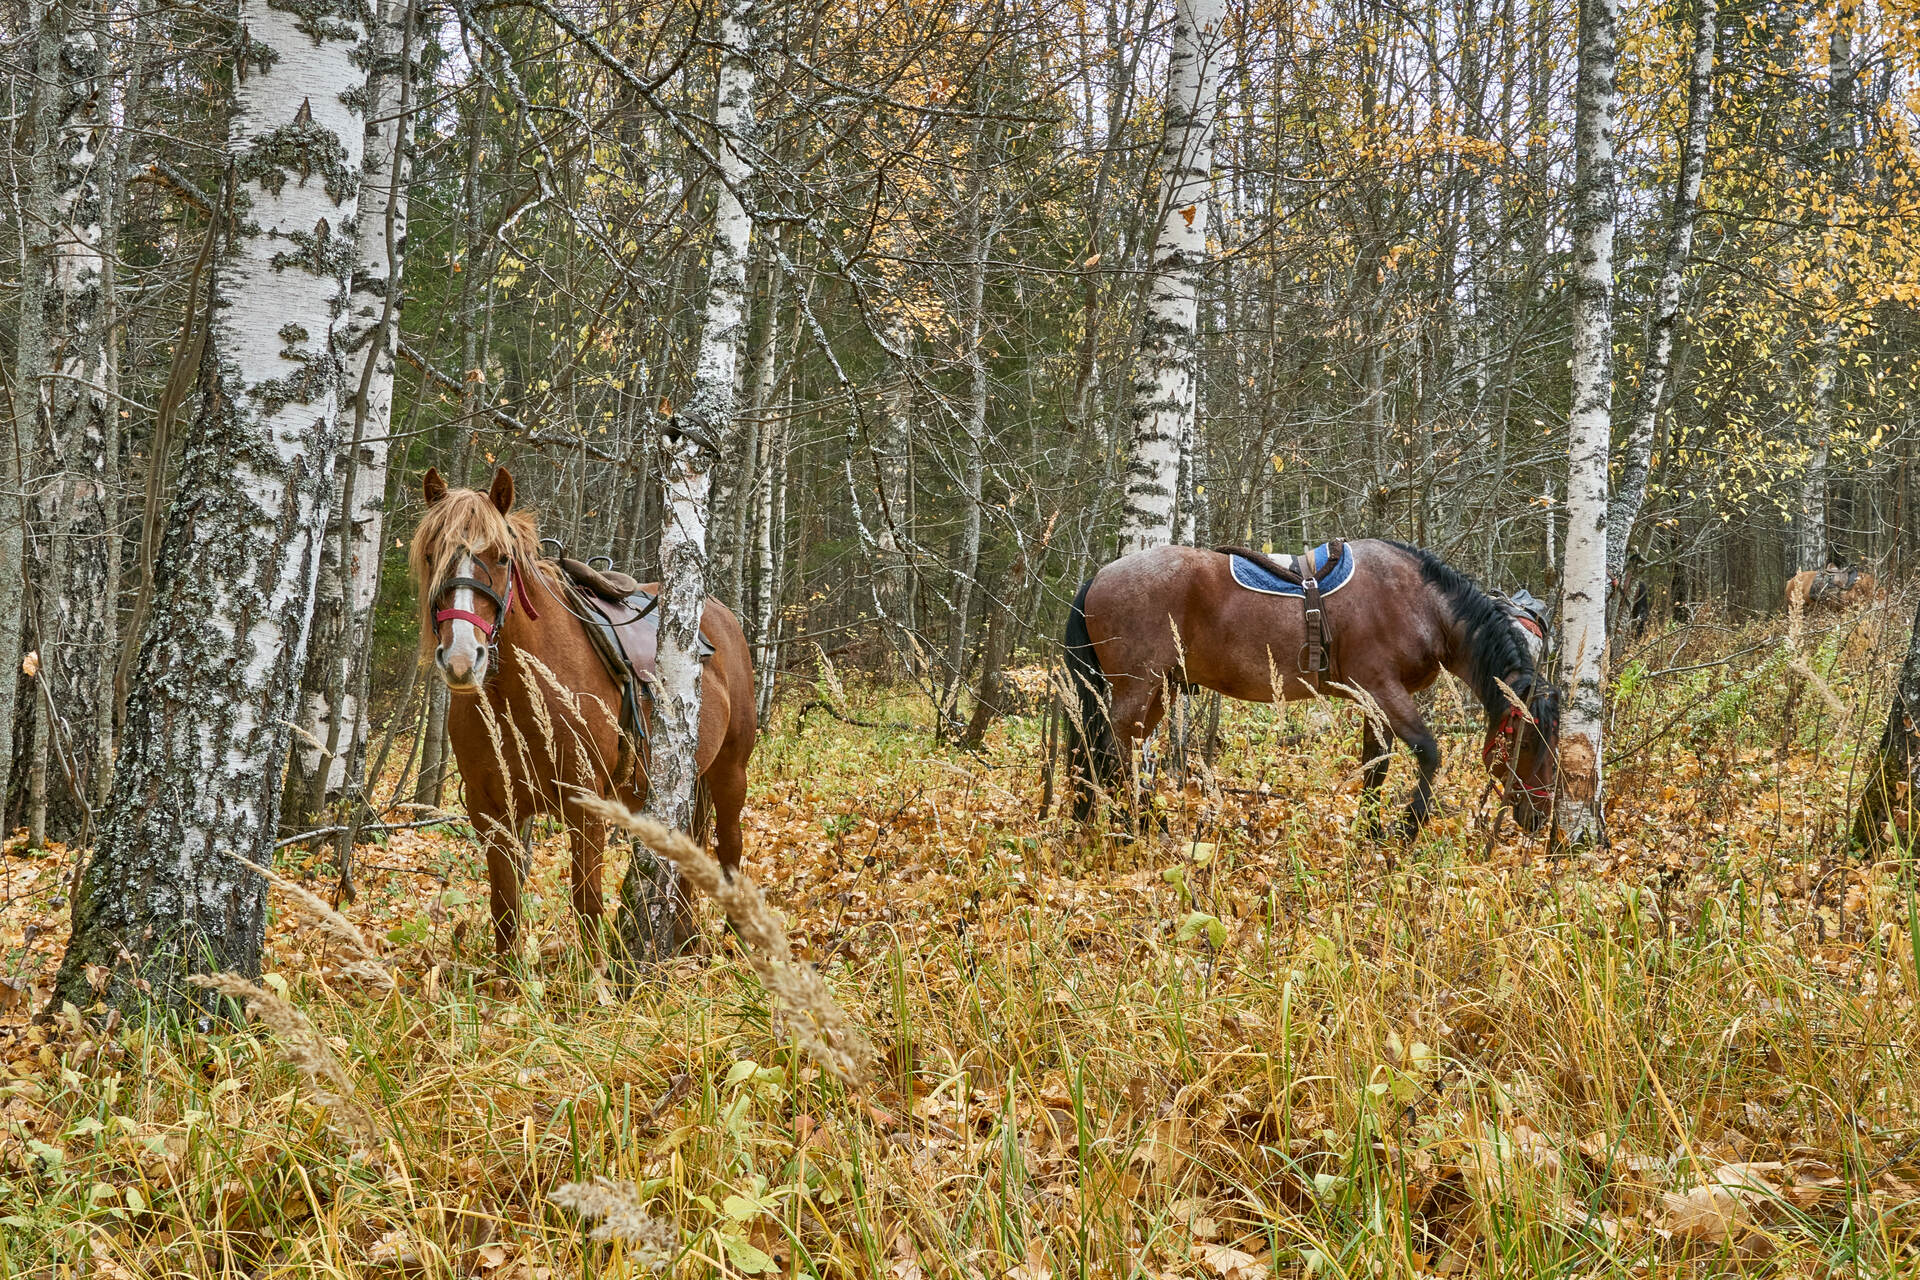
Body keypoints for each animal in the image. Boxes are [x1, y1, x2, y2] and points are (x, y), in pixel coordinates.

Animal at [412, 468, 756, 959]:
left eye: (501, 558)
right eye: (431, 555)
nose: (461, 658)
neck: (520, 694)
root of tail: (719, 616)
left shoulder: (587, 807)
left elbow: (587, 901)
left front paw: (594, 978)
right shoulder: (492, 813)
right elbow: (504, 908)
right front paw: (508, 978)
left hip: (730, 771)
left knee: (729, 849)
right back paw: (685, 939)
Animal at [1067, 545, 1559, 836]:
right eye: (1527, 740)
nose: (1539, 817)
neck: (1420, 604)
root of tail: (1098, 577)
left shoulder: (1372, 701)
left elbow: (1375, 764)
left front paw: (1369, 830)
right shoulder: (1382, 689)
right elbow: (1427, 752)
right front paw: (1406, 827)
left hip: (1158, 690)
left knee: (1119, 752)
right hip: (1137, 687)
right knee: (1110, 752)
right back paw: (1132, 824)